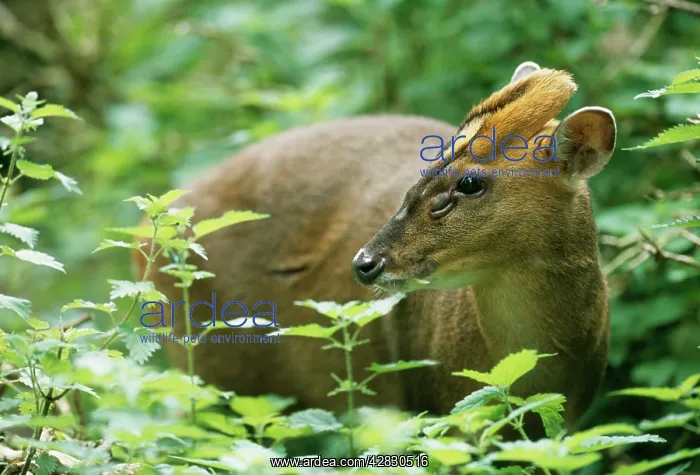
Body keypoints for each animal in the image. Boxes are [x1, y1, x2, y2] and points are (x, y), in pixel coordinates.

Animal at [136, 62, 615, 430]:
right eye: (426, 167)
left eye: (470, 182)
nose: (365, 263)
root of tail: (146, 230)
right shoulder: (439, 408)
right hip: (210, 363)